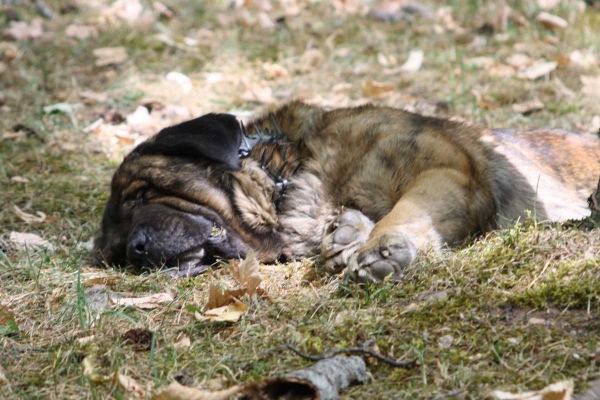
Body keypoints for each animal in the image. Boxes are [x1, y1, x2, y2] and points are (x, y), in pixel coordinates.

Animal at [94, 101, 600, 280]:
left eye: (140, 196)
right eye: (116, 254)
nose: (138, 250)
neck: (291, 174)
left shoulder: (446, 169)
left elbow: (407, 210)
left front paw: (381, 246)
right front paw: (346, 235)